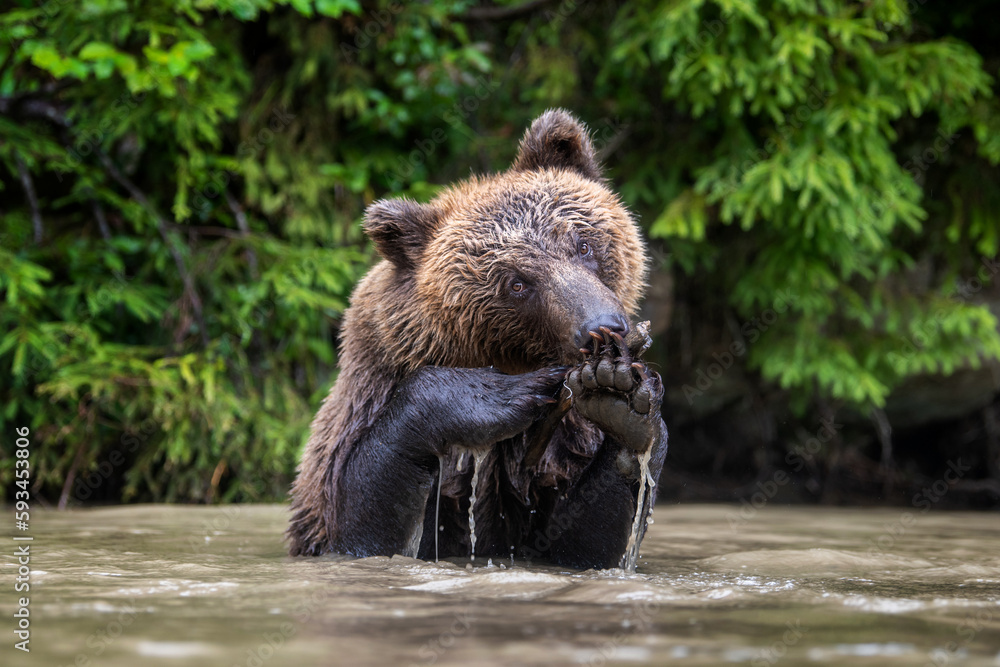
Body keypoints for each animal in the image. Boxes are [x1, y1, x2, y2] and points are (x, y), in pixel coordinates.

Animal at [287, 109, 668, 569]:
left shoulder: (563, 446)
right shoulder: (368, 394)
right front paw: (495, 394)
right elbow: (363, 519)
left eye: (582, 244)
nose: (603, 327)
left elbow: (583, 541)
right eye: (517, 283)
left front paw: (622, 399)